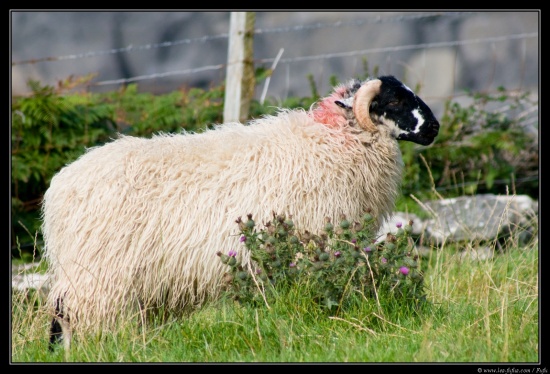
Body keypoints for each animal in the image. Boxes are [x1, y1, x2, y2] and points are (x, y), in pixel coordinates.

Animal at [42, 75, 440, 350]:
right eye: (394, 100)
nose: (435, 127)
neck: (335, 138)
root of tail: (60, 188)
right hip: (96, 277)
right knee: (73, 317)